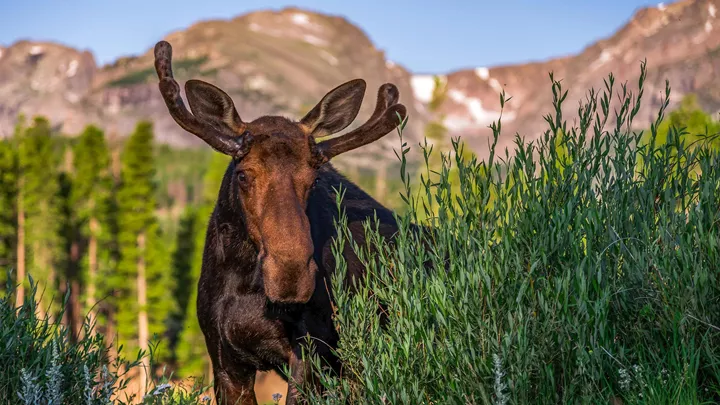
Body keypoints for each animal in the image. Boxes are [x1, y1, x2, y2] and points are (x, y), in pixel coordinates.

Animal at [153, 40, 410, 405]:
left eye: (314, 179)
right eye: (244, 174)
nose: (290, 275)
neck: (247, 285)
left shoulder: (314, 355)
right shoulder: (224, 360)